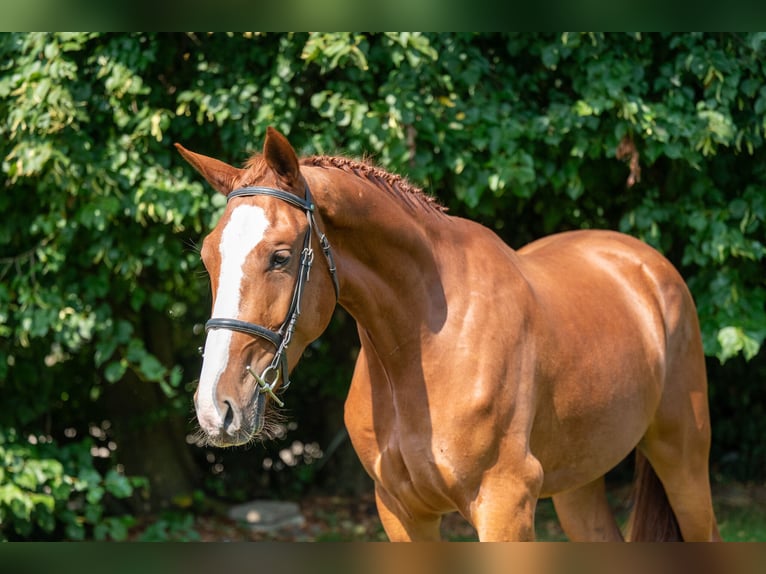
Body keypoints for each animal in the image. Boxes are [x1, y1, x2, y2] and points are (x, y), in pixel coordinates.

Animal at [177, 127, 724, 544]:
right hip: (579, 483)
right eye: (208, 257)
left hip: (683, 461)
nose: (216, 407)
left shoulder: (505, 506)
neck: (422, 350)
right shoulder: (401, 512)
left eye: (281, 256)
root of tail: (645, 264)